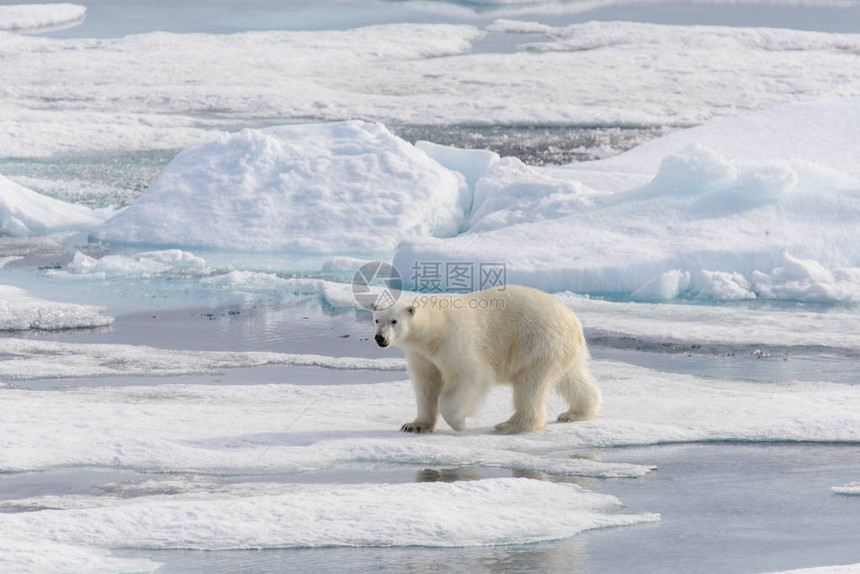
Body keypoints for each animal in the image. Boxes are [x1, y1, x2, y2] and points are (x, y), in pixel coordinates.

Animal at [372, 288, 600, 436]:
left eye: (394, 321)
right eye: (376, 320)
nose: (380, 338)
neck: (433, 328)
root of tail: (573, 320)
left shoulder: (455, 340)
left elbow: (470, 374)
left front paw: (458, 423)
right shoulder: (421, 355)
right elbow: (426, 383)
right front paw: (414, 425)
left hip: (537, 343)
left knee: (530, 385)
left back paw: (509, 425)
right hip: (562, 350)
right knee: (571, 378)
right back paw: (575, 413)